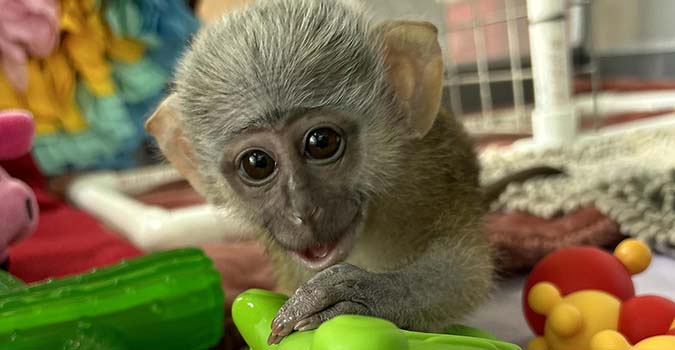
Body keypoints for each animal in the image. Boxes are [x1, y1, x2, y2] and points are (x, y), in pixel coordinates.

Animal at [145, 0, 552, 344]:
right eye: (257, 164)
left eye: (321, 142)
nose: (301, 210)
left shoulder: (428, 176)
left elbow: (466, 271)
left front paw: (366, 293)